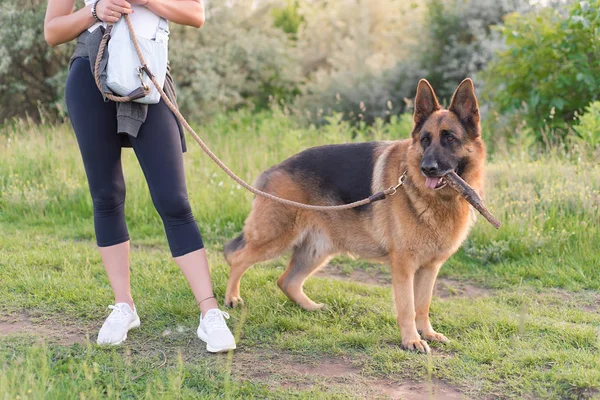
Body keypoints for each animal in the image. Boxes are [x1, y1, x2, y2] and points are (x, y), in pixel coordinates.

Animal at [223, 78, 486, 354]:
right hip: (276, 237)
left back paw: (310, 307)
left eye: (449, 138)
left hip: (317, 250)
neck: (438, 201)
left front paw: (428, 333)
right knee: (238, 258)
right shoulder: (403, 266)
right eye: (425, 140)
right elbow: (407, 307)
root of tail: (274, 169)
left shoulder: (429, 268)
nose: (427, 168)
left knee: (286, 281)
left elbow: (422, 305)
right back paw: (232, 298)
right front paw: (411, 340)